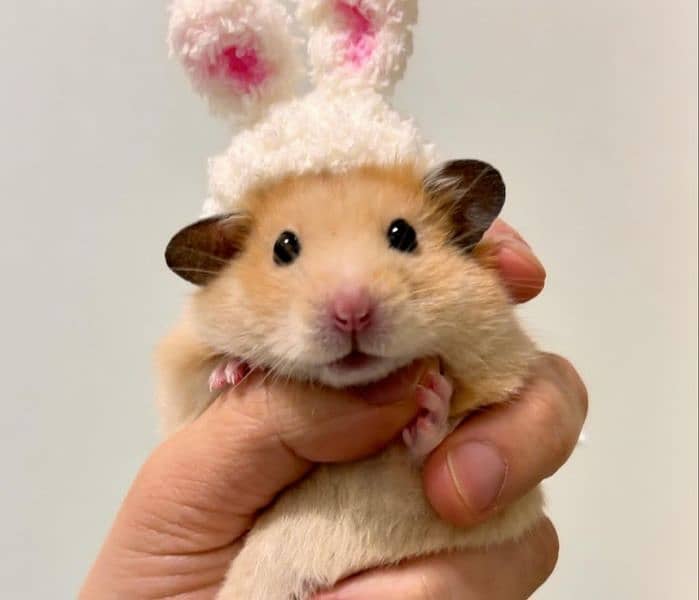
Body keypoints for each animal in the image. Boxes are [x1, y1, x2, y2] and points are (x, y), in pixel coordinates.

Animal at [159, 161, 548, 600]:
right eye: (283, 247)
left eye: (403, 234)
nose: (352, 313)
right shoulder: (182, 401)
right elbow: (206, 381)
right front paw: (232, 371)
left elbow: (435, 450)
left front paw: (433, 398)